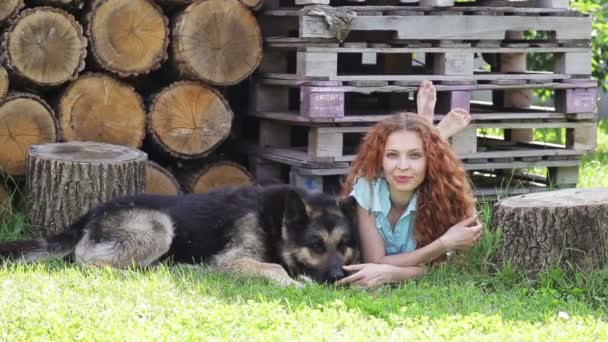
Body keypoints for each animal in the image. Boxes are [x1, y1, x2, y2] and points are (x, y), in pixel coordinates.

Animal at [0, 184, 358, 286]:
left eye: (343, 246)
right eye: (315, 245)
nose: (338, 277)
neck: (275, 221)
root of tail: (88, 214)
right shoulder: (232, 260)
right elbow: (275, 268)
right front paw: (296, 284)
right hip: (159, 227)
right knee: (84, 262)